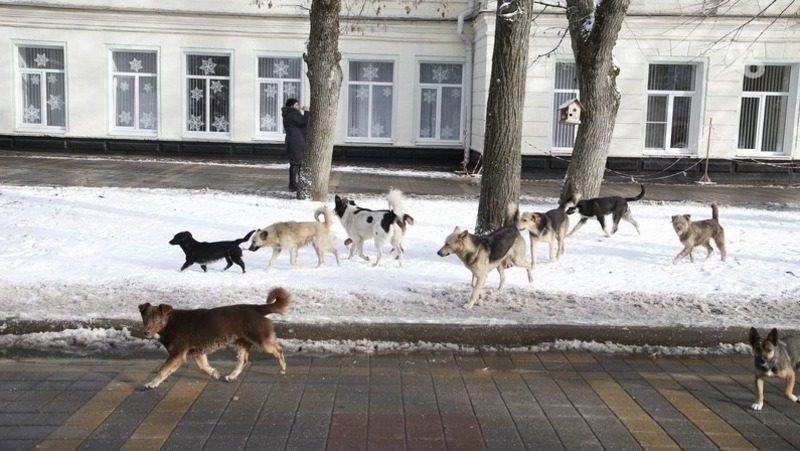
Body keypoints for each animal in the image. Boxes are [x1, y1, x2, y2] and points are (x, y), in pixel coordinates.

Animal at [139, 288, 292, 390]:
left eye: (156, 319)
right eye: (145, 318)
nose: (146, 332)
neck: (170, 322)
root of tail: (257, 308)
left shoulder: (177, 354)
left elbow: (163, 370)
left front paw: (152, 383)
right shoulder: (198, 353)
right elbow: (203, 366)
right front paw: (215, 373)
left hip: (262, 340)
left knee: (278, 350)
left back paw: (283, 367)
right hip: (242, 342)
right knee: (242, 361)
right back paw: (232, 376)